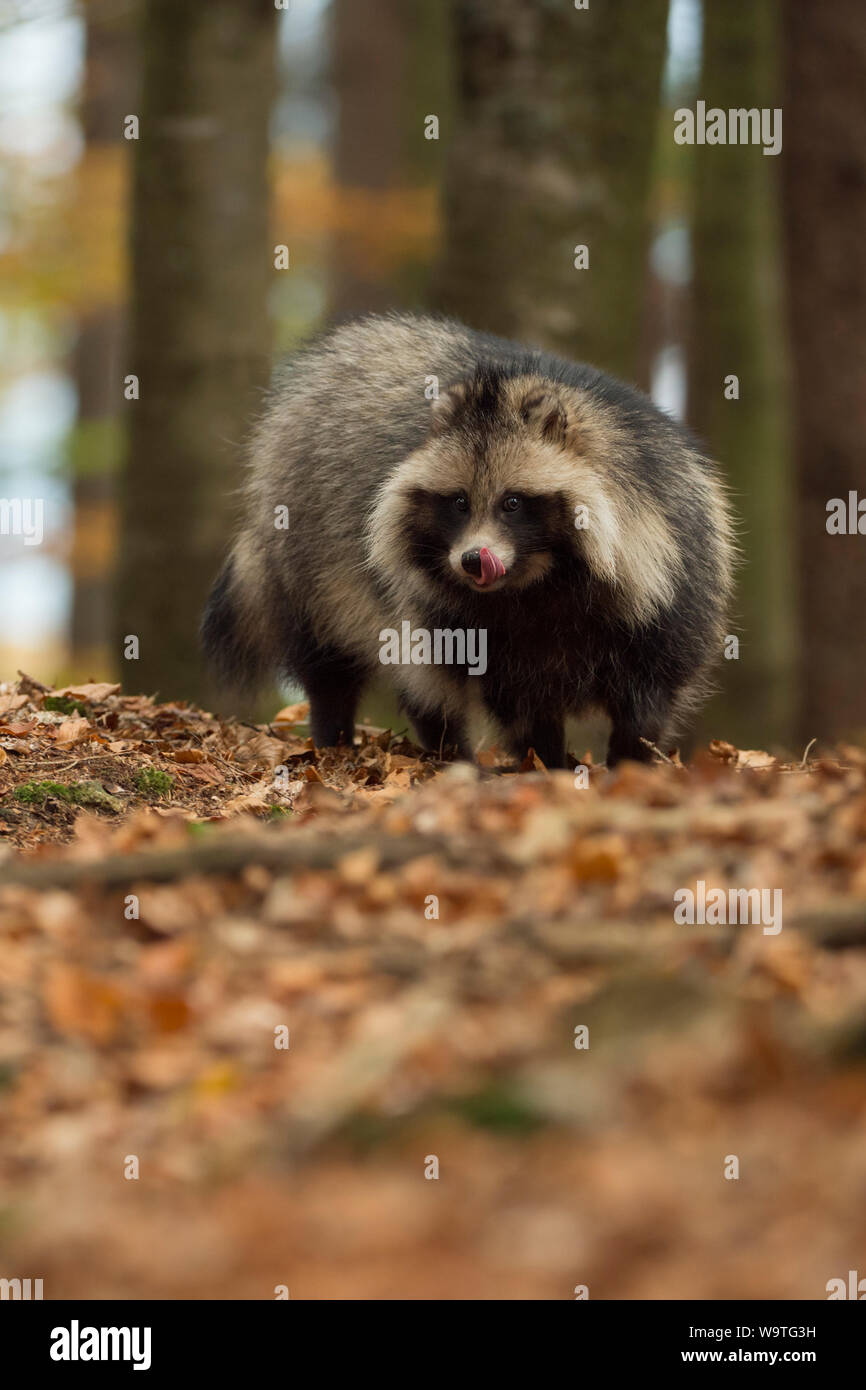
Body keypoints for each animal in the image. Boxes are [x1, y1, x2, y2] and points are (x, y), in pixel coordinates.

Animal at [202, 312, 733, 772]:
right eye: (459, 502)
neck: (543, 582)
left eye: (512, 503)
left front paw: (630, 762)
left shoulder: (672, 572)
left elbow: (648, 697)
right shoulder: (479, 625)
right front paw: (546, 763)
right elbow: (520, 702)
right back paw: (367, 738)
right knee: (352, 662)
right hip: (312, 555)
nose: (473, 561)